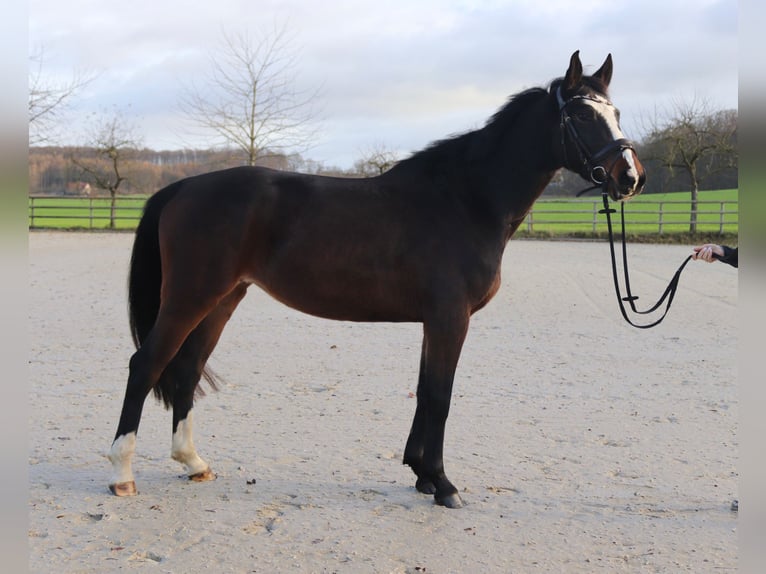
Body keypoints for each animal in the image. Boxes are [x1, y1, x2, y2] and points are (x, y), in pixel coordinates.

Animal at [108, 51, 645, 508]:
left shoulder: (435, 321)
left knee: (186, 370)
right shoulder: (451, 318)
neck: (466, 199)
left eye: (617, 112)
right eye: (581, 116)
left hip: (223, 298)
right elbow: (440, 396)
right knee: (146, 364)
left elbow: (425, 391)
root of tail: (182, 187)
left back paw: (193, 462)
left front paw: (422, 474)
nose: (630, 176)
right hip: (190, 297)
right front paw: (444, 485)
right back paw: (122, 475)